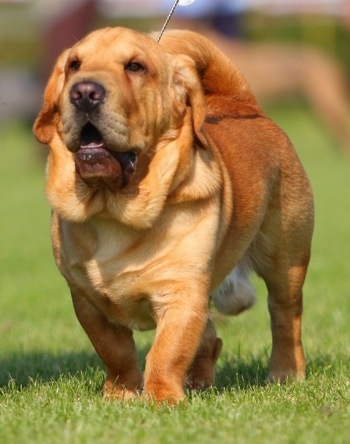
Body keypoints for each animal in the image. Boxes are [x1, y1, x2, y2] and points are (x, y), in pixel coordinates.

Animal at [33, 26, 314, 404]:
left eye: (135, 66)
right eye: (74, 65)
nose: (84, 92)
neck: (115, 208)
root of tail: (243, 103)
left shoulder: (181, 291)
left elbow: (168, 350)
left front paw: (161, 398)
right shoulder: (87, 299)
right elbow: (115, 351)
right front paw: (120, 394)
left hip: (286, 260)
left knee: (285, 316)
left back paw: (285, 374)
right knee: (211, 339)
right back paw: (198, 382)